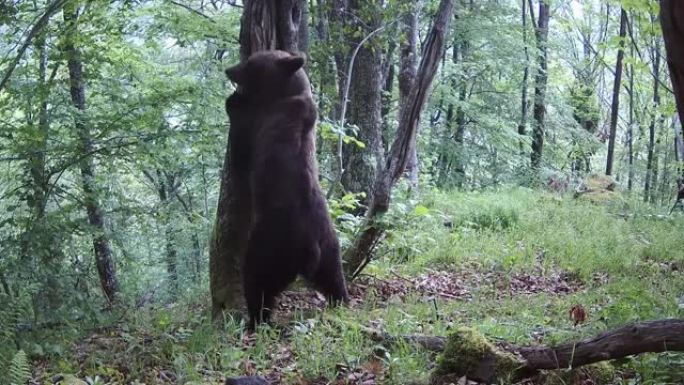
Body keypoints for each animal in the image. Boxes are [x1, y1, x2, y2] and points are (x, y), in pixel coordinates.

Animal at [227, 50, 350, 328]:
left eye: (250, 63)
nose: (229, 70)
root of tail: (310, 245)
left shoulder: (260, 125)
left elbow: (241, 152)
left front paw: (233, 100)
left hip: (270, 243)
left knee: (256, 281)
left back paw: (254, 320)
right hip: (329, 243)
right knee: (334, 276)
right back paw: (342, 300)